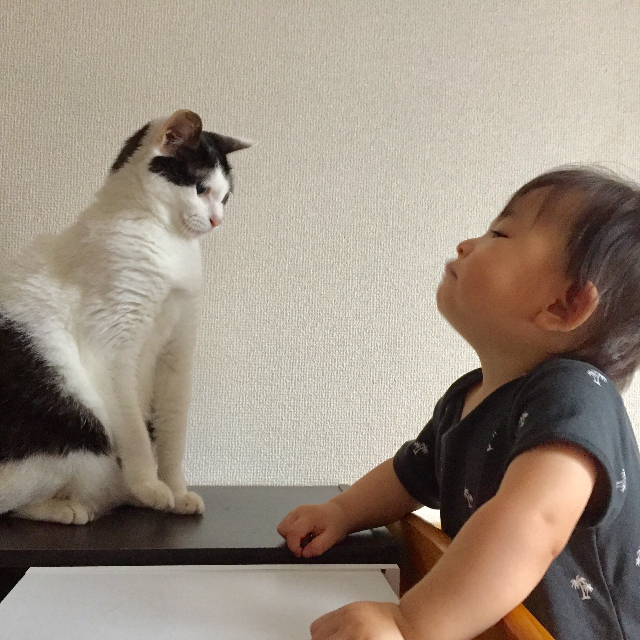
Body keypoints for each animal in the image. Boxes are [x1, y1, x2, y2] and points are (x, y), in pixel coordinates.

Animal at [0, 109, 253, 524]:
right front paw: (150, 485)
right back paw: (71, 507)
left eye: (225, 197)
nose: (218, 220)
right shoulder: (113, 348)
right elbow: (135, 432)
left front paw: (175, 491)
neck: (170, 247)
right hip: (73, 425)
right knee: (14, 504)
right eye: (200, 189)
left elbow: (171, 436)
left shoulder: (175, 355)